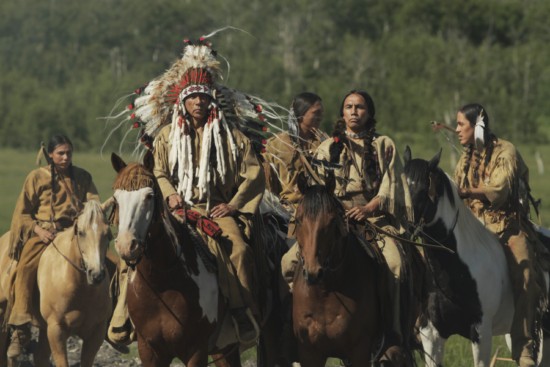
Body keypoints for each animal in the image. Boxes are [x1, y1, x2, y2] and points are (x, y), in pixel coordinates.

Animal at [294, 174, 388, 366]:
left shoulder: (360, 351)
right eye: (299, 220)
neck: (324, 293)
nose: (313, 272)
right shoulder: (308, 352)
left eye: (331, 222)